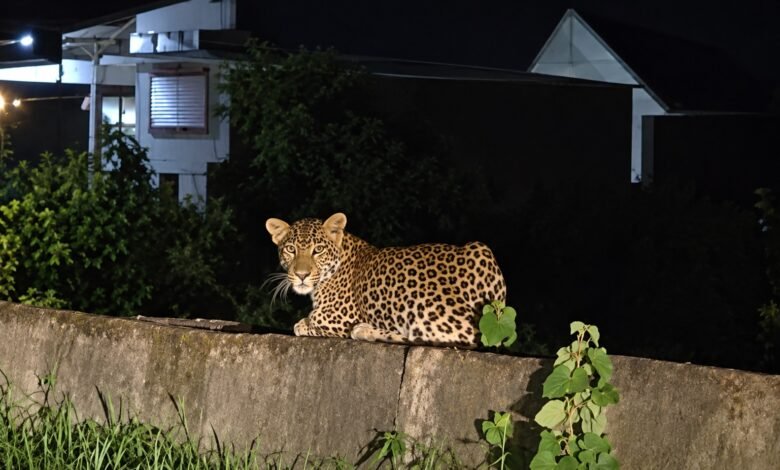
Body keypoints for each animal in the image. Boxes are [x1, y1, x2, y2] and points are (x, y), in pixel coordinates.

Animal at [265, 212, 506, 348]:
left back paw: (364, 330)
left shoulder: (338, 317)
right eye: (291, 249)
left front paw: (303, 324)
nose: (301, 275)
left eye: (318, 250)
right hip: (480, 248)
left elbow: (307, 322)